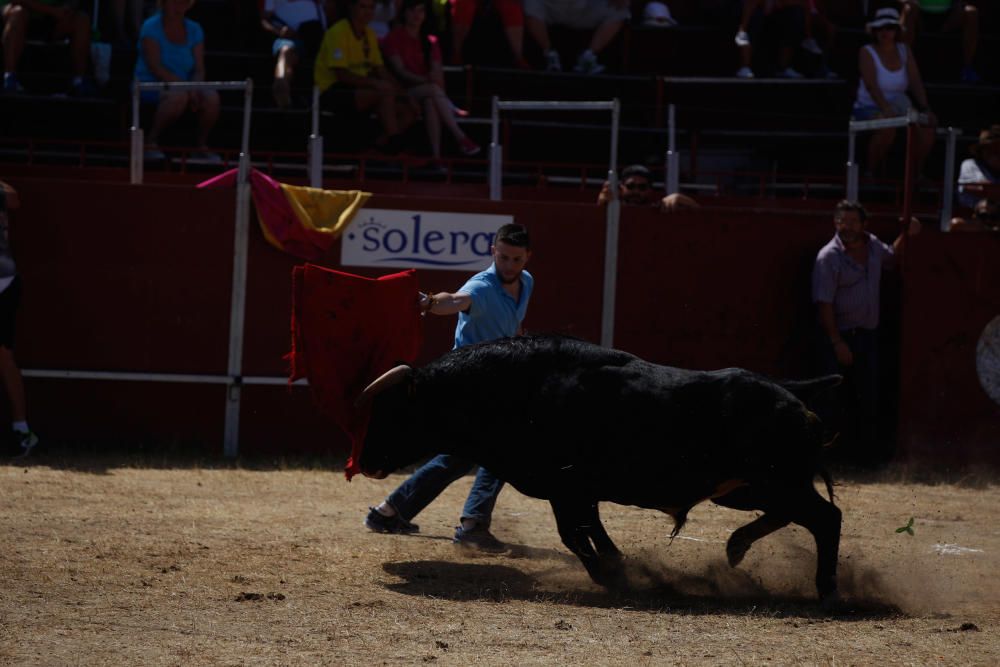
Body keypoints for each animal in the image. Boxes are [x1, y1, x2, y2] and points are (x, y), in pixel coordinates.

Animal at [356, 336, 840, 604]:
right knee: (798, 515)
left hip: (774, 481)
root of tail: (791, 392)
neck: (515, 386)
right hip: (746, 489)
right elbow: (589, 531)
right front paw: (618, 568)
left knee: (826, 517)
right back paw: (737, 548)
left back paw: (827, 589)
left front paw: (612, 576)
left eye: (394, 412)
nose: (364, 462)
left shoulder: (565, 489)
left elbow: (574, 535)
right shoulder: (576, 492)